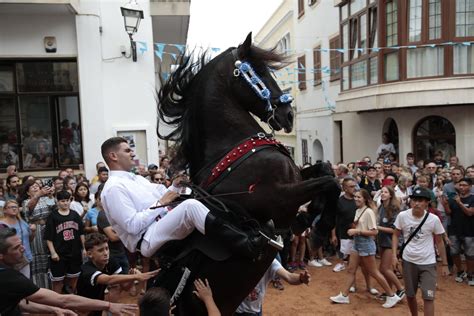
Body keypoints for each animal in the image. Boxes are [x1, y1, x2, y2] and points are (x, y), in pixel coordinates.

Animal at [154, 33, 338, 314]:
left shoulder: (295, 178)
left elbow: (327, 171)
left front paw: (311, 219)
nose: (288, 114)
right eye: (258, 71)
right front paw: (320, 228)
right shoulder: (278, 197)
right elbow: (329, 182)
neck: (231, 151)